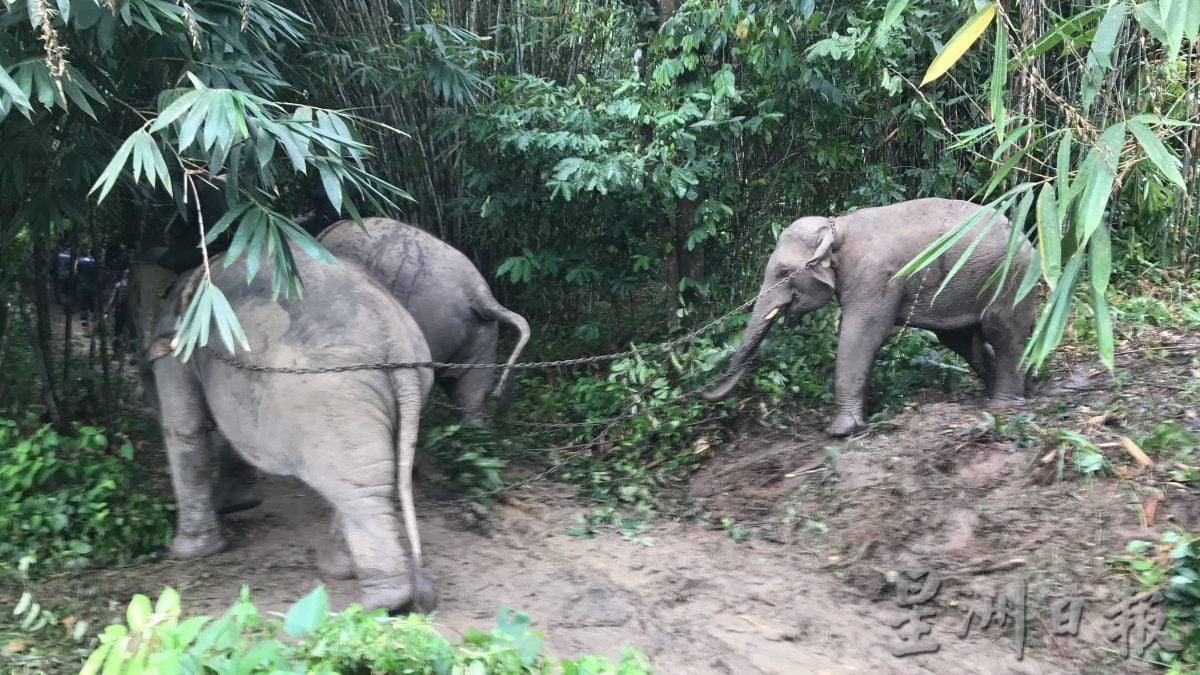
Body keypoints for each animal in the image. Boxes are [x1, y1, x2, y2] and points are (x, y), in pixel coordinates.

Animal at [140, 246, 439, 610]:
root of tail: (397, 345)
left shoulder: (180, 346)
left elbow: (186, 428)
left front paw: (187, 552)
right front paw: (235, 505)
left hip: (332, 397)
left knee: (361, 491)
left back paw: (377, 605)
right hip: (387, 394)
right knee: (365, 478)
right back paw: (341, 571)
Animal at [700, 196, 1032, 432]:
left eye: (783, 272)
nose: (704, 393)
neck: (837, 228)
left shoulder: (876, 277)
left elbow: (862, 334)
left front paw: (841, 431)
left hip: (1009, 278)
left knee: (1003, 330)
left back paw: (1005, 404)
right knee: (959, 339)